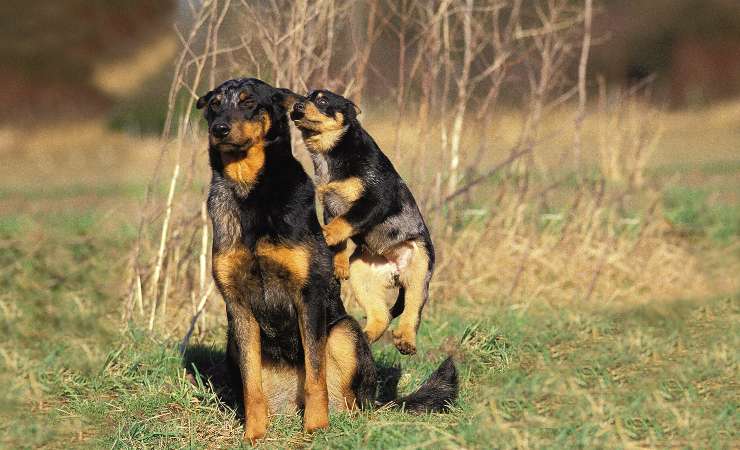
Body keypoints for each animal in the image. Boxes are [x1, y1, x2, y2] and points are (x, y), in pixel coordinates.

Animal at [290, 89, 436, 356]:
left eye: (322, 100)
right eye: (305, 96)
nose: (296, 106)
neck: (331, 153)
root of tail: (396, 269)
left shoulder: (377, 198)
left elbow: (345, 222)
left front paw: (324, 234)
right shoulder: (329, 205)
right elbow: (340, 238)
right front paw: (338, 265)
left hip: (420, 269)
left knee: (412, 311)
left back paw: (406, 341)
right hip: (362, 275)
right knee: (382, 315)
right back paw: (363, 337)